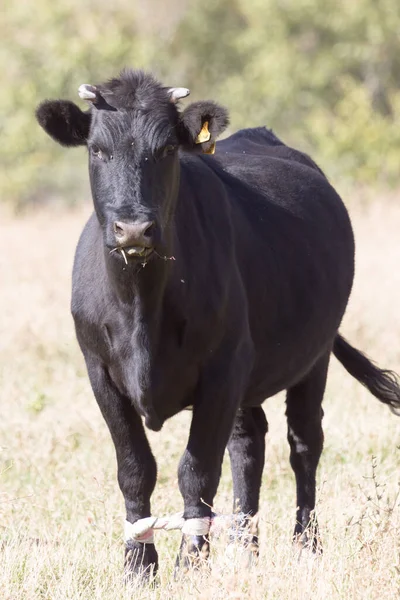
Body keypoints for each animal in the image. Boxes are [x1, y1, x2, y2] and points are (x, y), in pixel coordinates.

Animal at [35, 69, 400, 576]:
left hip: (314, 356)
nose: (134, 229)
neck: (141, 307)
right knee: (249, 444)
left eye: (167, 149)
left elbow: (197, 471)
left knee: (304, 442)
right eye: (96, 150)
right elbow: (135, 469)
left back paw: (306, 545)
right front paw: (138, 565)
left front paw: (190, 562)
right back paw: (245, 547)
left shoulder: (222, 370)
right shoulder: (100, 372)